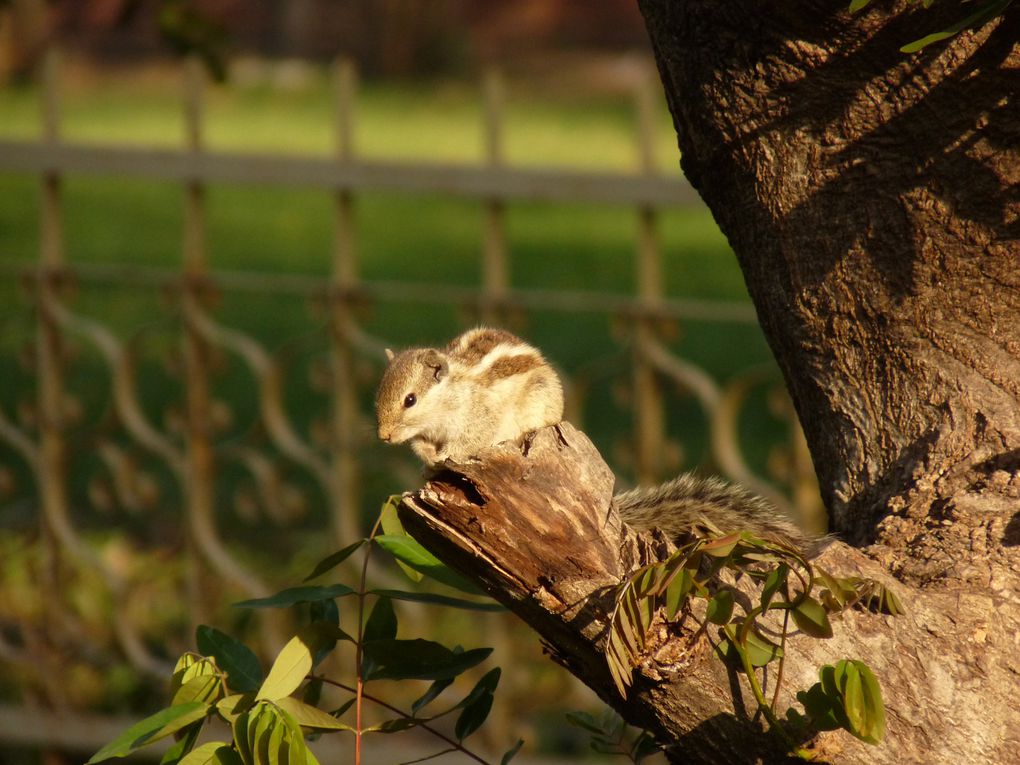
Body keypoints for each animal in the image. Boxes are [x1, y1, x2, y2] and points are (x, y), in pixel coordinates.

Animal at [379, 326, 816, 554]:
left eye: (410, 399)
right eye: (380, 395)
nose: (383, 436)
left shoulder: (478, 419)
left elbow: (472, 439)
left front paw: (448, 455)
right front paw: (427, 459)